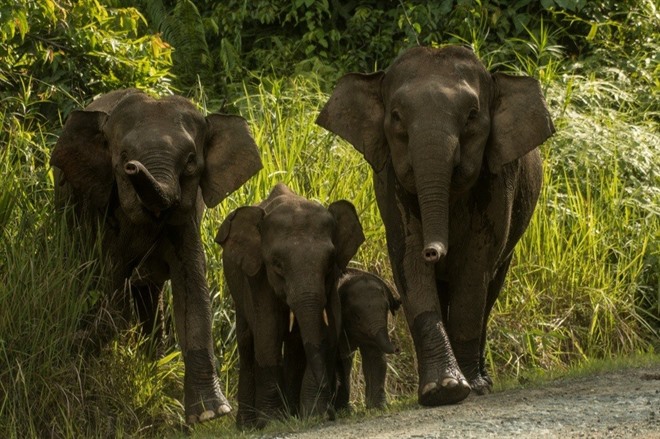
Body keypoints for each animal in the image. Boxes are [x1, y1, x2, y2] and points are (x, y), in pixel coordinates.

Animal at [49, 88, 262, 422]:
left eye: (191, 161)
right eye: (123, 159)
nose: (134, 168)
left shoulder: (187, 218)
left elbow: (192, 292)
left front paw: (210, 414)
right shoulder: (100, 212)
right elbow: (111, 285)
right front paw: (79, 341)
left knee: (150, 292)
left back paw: (153, 360)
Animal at [214, 183, 364, 430]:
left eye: (330, 261)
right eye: (277, 264)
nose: (333, 412)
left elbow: (330, 325)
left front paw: (314, 415)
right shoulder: (258, 275)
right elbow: (268, 329)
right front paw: (272, 422)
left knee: (293, 343)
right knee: (247, 341)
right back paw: (247, 425)